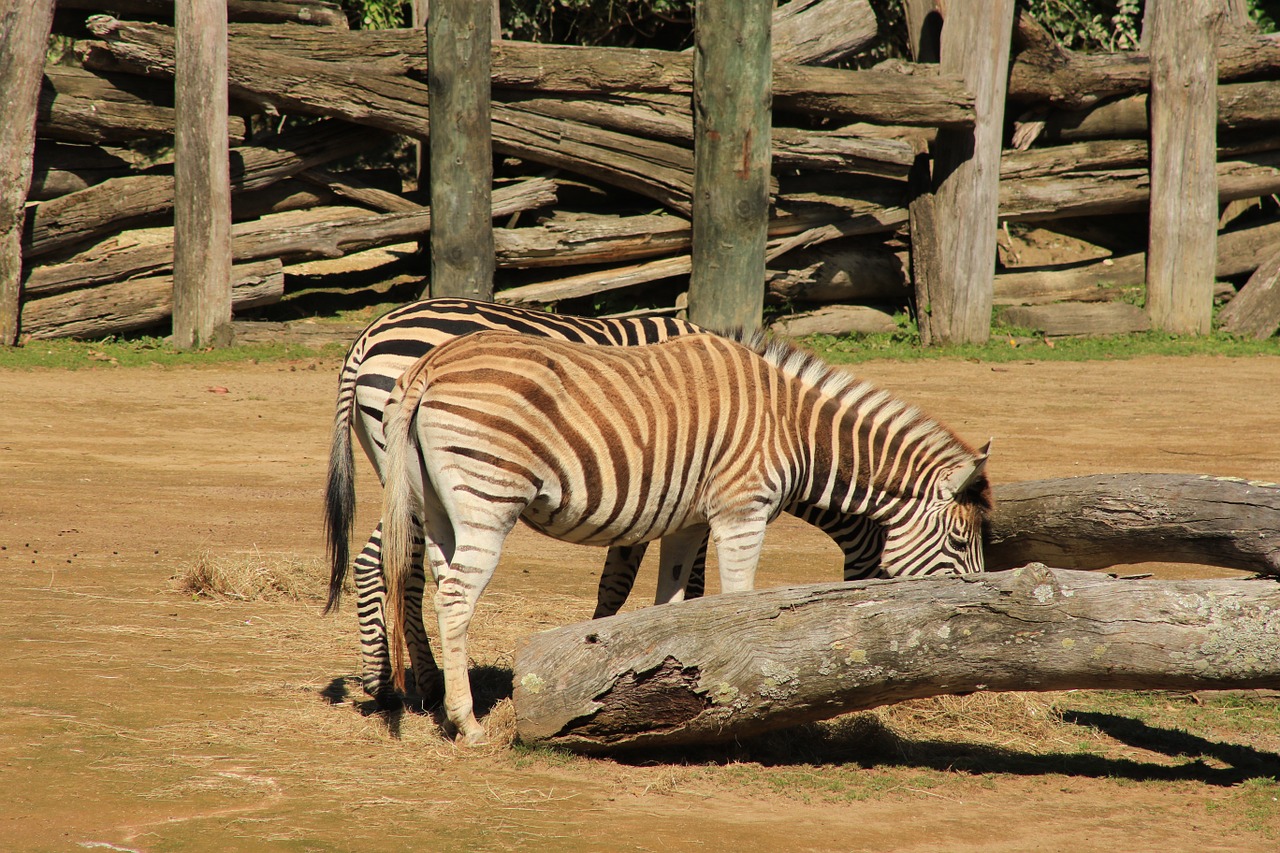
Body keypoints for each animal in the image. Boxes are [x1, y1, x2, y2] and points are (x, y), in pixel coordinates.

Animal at [322, 295, 890, 701]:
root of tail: (366, 337)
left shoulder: (649, 491)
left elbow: (619, 584)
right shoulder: (660, 487)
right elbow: (654, 583)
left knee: (400, 563)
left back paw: (410, 680)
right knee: (385, 561)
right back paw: (395, 683)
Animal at [376, 327, 988, 742]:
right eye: (960, 544)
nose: (973, 620)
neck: (794, 428)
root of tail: (432, 361)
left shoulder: (689, 521)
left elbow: (671, 604)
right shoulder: (742, 510)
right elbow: (739, 601)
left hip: (436, 505)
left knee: (435, 580)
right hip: (489, 495)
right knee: (457, 596)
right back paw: (468, 723)